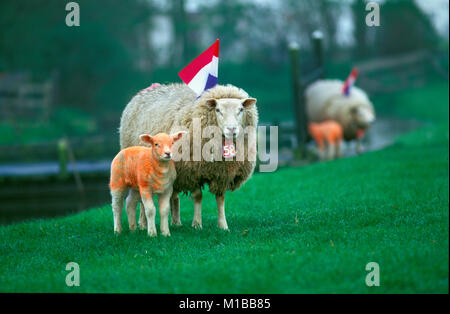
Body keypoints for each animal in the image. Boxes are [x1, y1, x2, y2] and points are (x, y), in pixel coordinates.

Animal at [119, 83, 258, 231]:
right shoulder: (191, 172)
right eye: (218, 110)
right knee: (142, 198)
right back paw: (143, 223)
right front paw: (197, 224)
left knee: (173, 196)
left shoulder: (222, 174)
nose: (232, 129)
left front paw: (223, 225)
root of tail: (147, 90)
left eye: (241, 109)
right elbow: (198, 196)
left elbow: (220, 198)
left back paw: (176, 222)